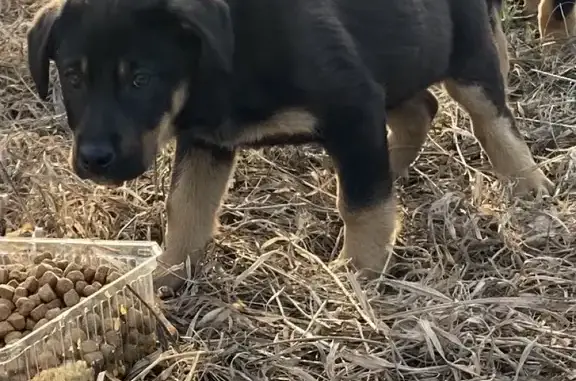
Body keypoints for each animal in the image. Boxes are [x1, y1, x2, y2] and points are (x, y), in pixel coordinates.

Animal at [25, 0, 552, 290]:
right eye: (72, 77)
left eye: (140, 79)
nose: (94, 160)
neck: (221, 61)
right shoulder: (205, 141)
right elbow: (187, 209)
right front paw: (166, 274)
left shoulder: (352, 107)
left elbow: (362, 204)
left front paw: (357, 272)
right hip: (402, 61)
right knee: (419, 109)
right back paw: (397, 170)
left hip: (466, 54)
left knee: (493, 122)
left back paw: (530, 189)